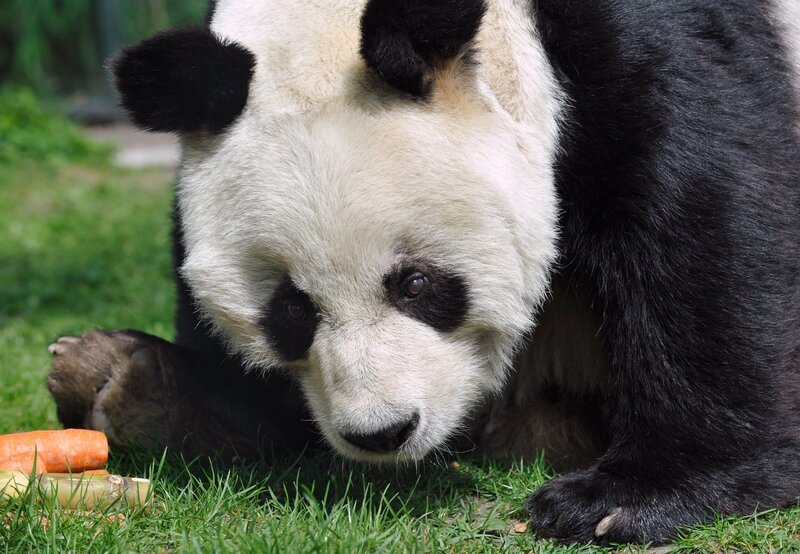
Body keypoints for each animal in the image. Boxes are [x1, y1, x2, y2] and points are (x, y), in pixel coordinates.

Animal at [46, 0, 800, 545]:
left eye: (415, 283)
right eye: (291, 310)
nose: (381, 432)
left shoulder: (661, 52)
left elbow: (707, 222)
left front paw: (625, 498)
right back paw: (128, 384)